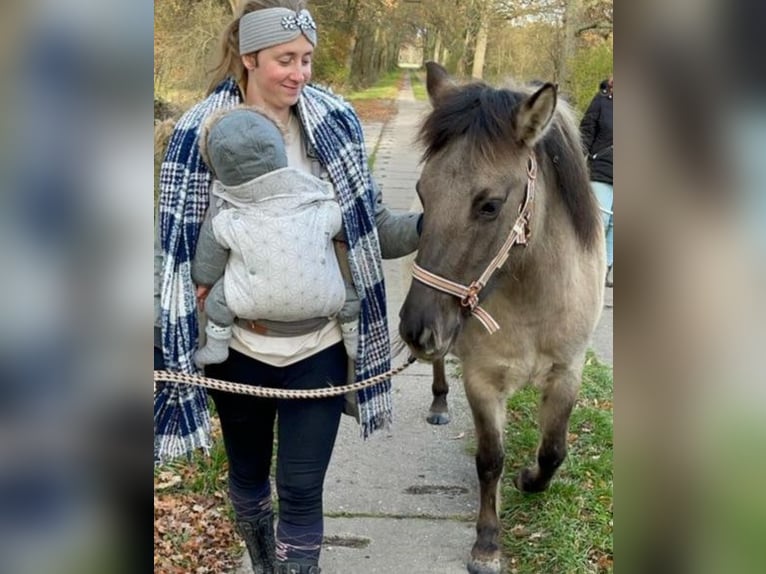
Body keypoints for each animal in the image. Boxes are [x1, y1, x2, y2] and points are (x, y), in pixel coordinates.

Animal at [402, 63, 608, 574]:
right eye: (423, 192)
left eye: (489, 205)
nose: (416, 331)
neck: (534, 298)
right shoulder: (482, 379)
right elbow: (489, 459)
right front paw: (487, 543)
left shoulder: (568, 372)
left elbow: (553, 451)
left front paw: (529, 479)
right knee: (442, 368)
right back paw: (439, 402)